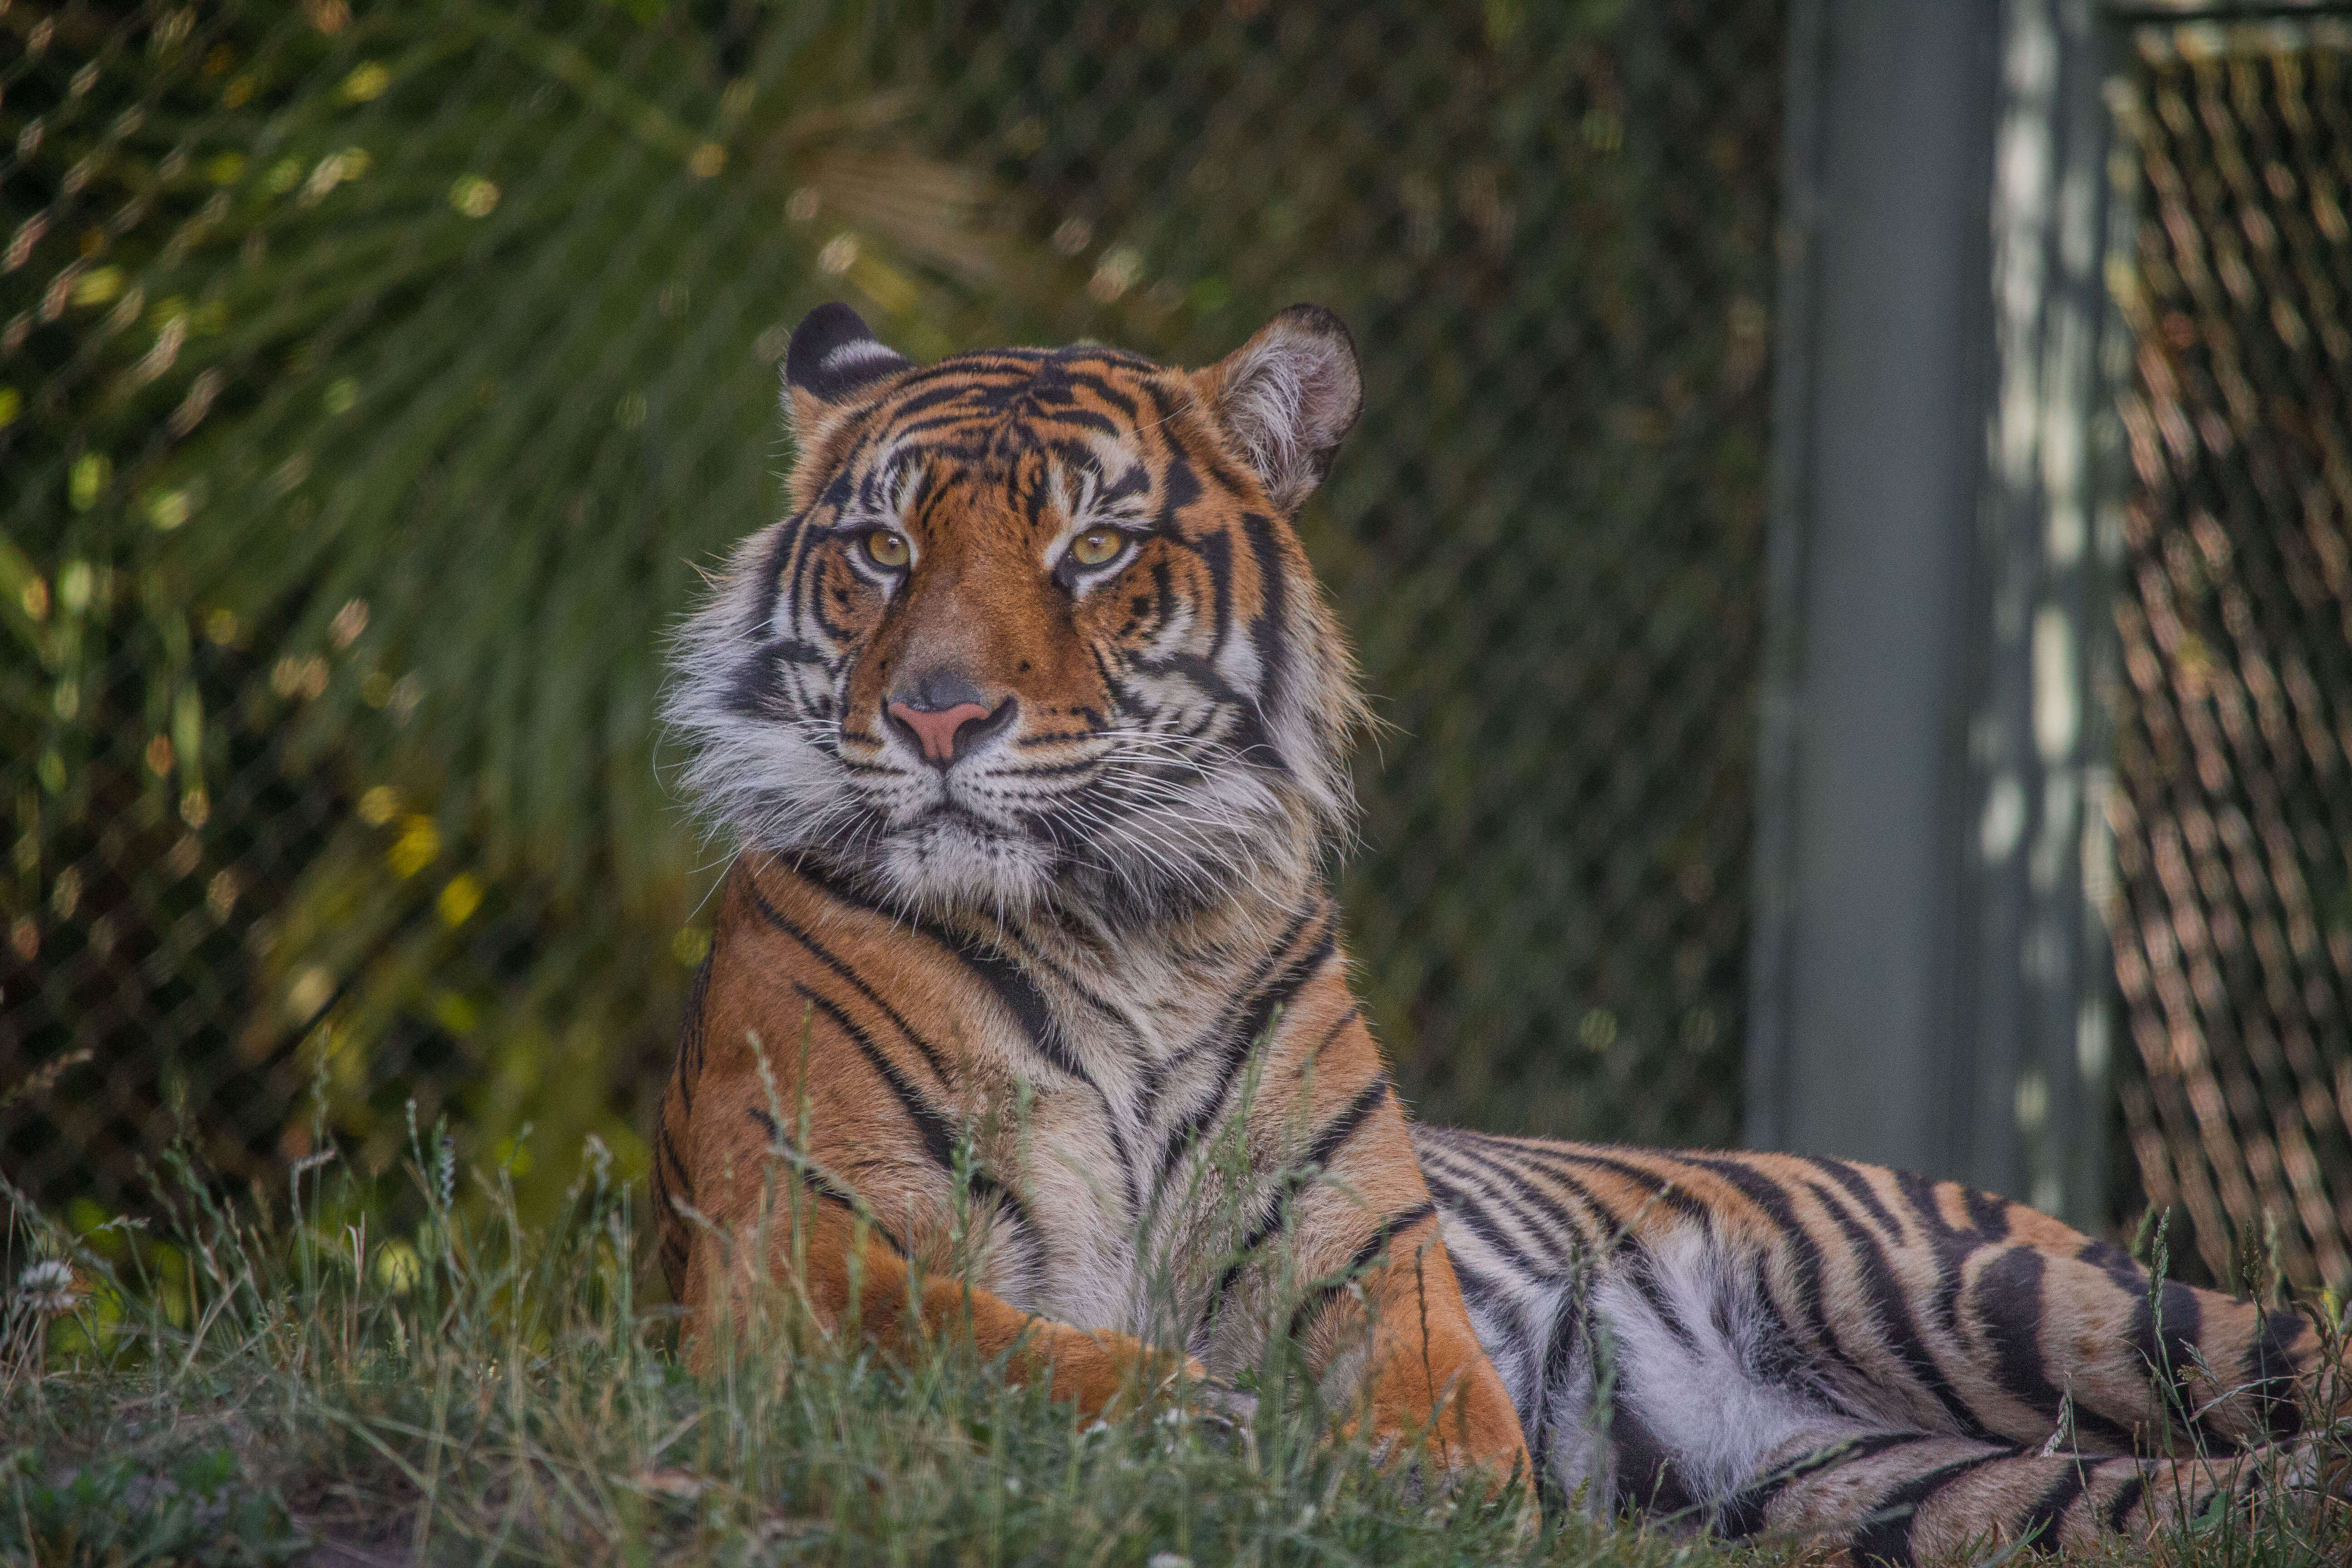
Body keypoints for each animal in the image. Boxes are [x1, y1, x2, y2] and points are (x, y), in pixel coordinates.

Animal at [658, 297, 2333, 1561]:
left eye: (1093, 550)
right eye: (883, 550)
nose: (938, 714)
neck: (1114, 925)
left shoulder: (1372, 1270)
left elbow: (1439, 1413)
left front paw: (1409, 1491)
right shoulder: (800, 1250)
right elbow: (1009, 1346)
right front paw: (1213, 1431)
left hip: (1995, 1293)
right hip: (1912, 1491)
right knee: (2206, 1499)